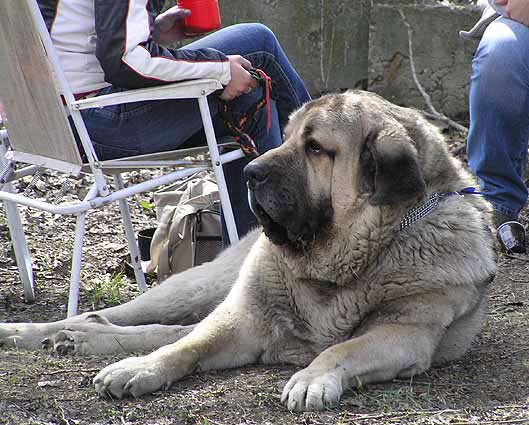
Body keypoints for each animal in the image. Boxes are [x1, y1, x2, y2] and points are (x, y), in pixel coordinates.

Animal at [0, 90, 496, 410]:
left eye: (316, 148)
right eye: (289, 135)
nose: (250, 172)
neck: (337, 262)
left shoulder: (405, 332)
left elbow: (342, 348)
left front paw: (313, 377)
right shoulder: (245, 319)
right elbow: (185, 348)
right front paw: (139, 369)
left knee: (162, 328)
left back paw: (80, 340)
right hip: (197, 287)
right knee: (127, 317)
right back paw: (39, 332)